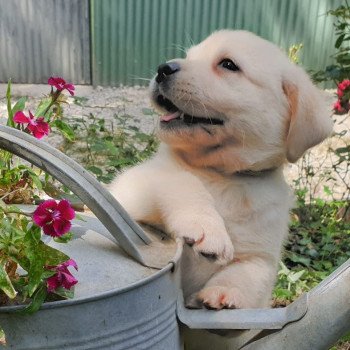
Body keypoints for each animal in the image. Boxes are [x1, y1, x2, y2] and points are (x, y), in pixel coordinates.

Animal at [110, 30, 334, 308]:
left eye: (228, 64)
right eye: (189, 56)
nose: (163, 68)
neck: (222, 174)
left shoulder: (262, 256)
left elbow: (246, 272)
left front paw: (222, 292)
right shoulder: (130, 188)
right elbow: (181, 181)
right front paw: (207, 228)